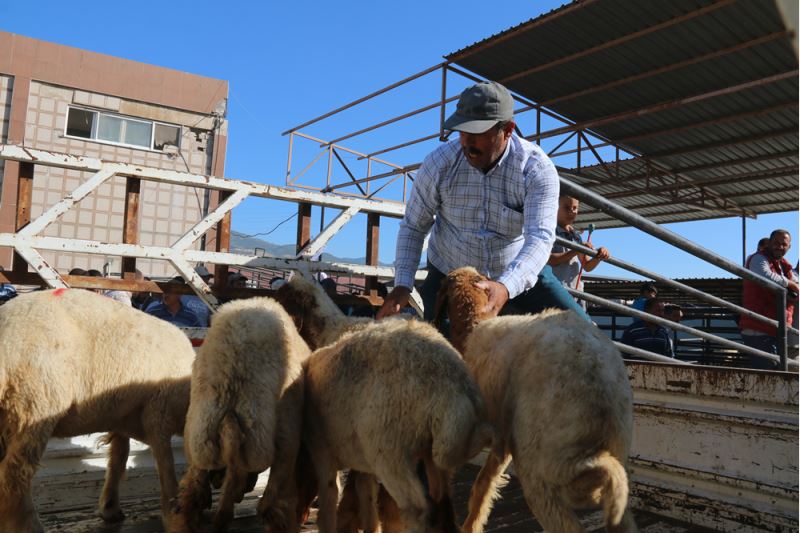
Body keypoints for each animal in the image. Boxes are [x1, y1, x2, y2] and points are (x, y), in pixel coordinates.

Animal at [0, 286, 195, 532]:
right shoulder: (157, 412)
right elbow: (165, 465)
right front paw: (175, 516)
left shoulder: (123, 414)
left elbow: (119, 457)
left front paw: (110, 507)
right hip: (35, 404)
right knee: (14, 478)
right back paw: (30, 526)